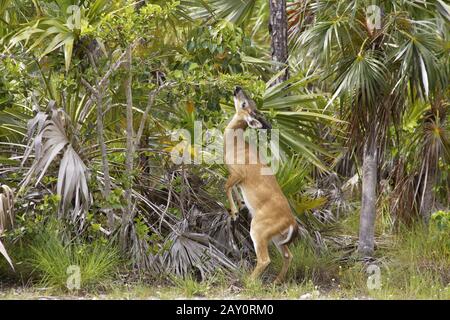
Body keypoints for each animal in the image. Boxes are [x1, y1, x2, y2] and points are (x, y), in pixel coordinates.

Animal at [222, 85, 298, 282]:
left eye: (244, 104)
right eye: (250, 102)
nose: (237, 88)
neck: (235, 145)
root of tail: (291, 222)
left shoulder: (238, 173)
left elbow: (226, 186)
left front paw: (234, 211)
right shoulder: (237, 178)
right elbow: (233, 189)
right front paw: (240, 205)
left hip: (259, 229)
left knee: (265, 259)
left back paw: (249, 282)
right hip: (277, 237)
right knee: (288, 255)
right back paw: (276, 281)